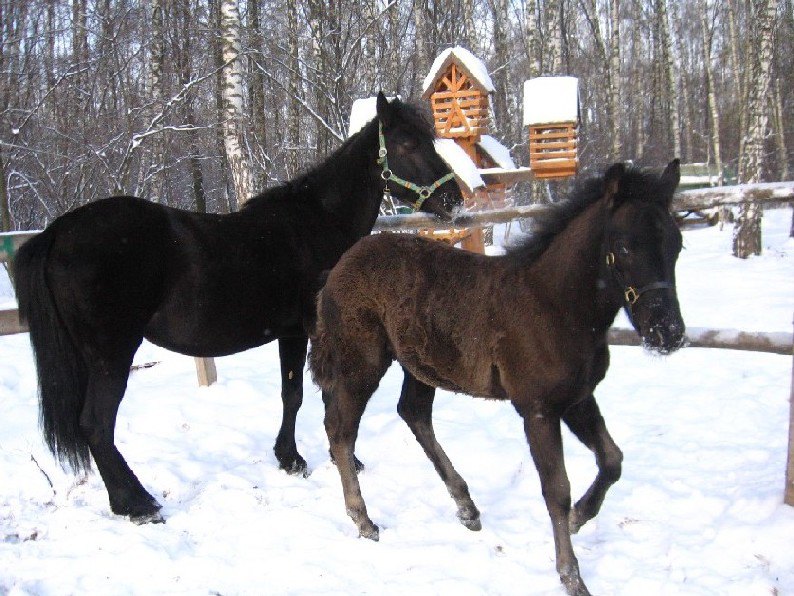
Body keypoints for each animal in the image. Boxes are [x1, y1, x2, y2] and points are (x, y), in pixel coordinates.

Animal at [15, 92, 460, 520]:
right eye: (408, 143)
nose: (454, 199)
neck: (317, 223)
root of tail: (58, 231)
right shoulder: (307, 331)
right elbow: (309, 394)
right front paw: (311, 458)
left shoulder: (291, 333)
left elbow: (293, 393)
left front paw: (291, 458)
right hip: (111, 355)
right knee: (96, 425)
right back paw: (137, 504)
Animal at [312, 162, 684, 596]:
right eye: (624, 247)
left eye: (677, 244)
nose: (668, 332)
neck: (555, 305)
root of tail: (338, 266)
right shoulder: (538, 410)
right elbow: (556, 489)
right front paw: (571, 576)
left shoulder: (577, 399)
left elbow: (612, 460)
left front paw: (579, 518)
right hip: (362, 362)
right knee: (341, 430)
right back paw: (364, 520)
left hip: (420, 363)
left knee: (413, 414)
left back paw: (466, 507)